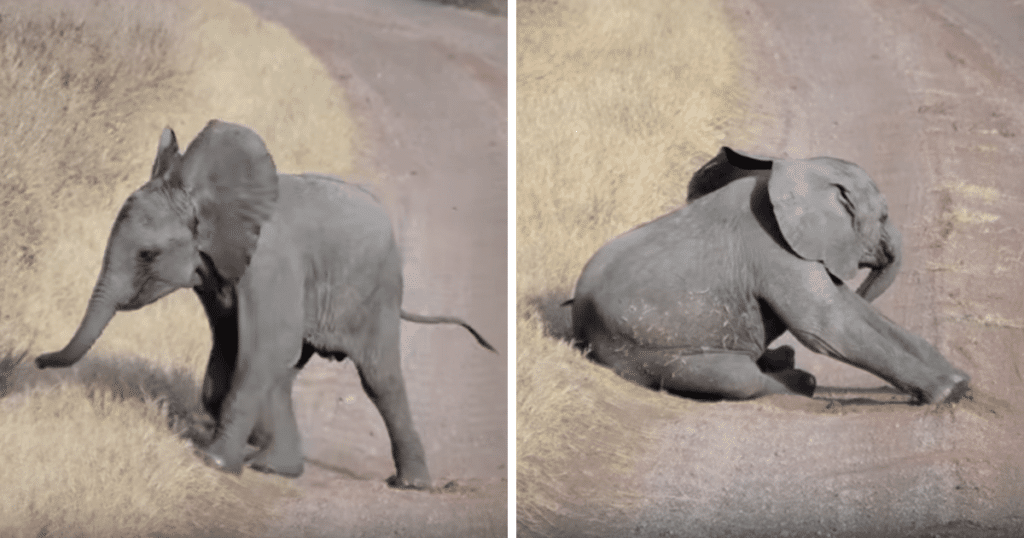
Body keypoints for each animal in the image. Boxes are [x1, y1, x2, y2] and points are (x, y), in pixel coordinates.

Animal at [35, 120, 495, 489]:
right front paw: (243, 446)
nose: (37, 360)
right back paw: (275, 467)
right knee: (287, 371)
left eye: (147, 254)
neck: (210, 199)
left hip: (376, 290)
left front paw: (214, 462)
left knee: (379, 378)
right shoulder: (216, 274)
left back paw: (411, 484)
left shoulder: (270, 264)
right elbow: (233, 352)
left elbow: (262, 349)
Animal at [568, 146, 969, 404]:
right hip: (647, 352)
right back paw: (801, 383)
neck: (799, 171)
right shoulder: (772, 246)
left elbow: (845, 308)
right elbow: (825, 325)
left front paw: (961, 379)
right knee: (740, 380)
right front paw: (949, 392)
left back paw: (782, 359)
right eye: (884, 217)